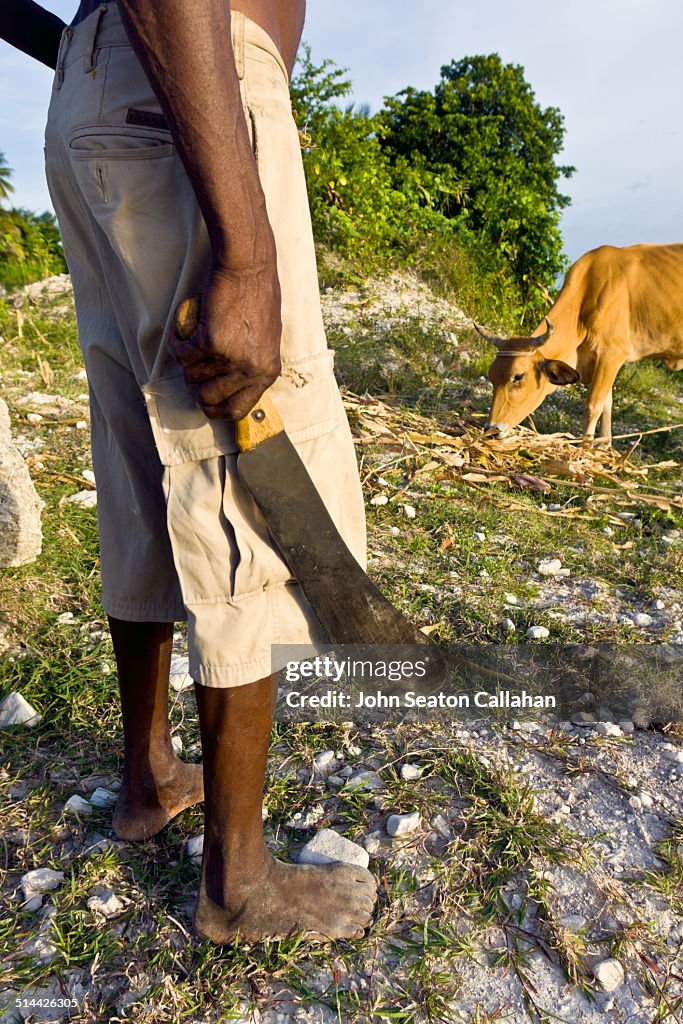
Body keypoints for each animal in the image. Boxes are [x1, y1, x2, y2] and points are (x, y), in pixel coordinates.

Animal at [479, 246, 683, 444]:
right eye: (491, 376)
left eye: (518, 376)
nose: (491, 429)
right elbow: (607, 405)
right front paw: (602, 447)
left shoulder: (611, 355)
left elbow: (594, 406)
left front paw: (586, 447)